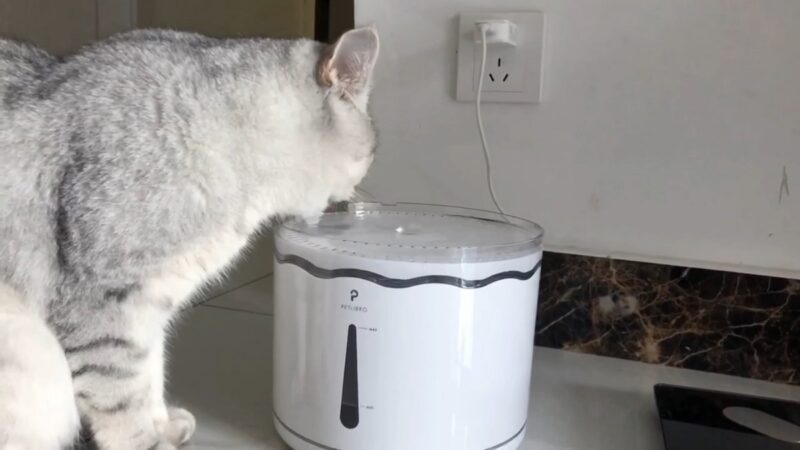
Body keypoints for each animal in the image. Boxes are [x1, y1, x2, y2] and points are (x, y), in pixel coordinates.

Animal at [0, 26, 380, 448]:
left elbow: (150, 372)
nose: (357, 197)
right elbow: (123, 400)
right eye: (372, 150)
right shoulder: (103, 309)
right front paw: (152, 442)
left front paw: (165, 424)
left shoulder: (150, 309)